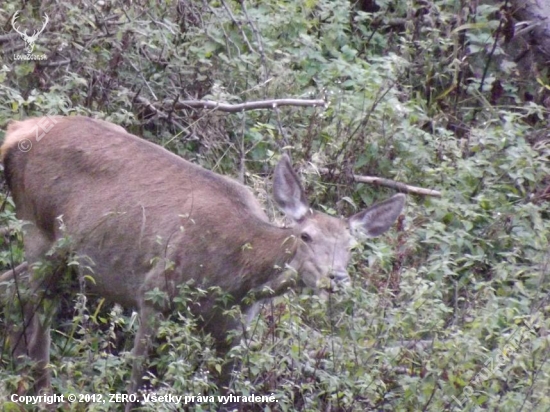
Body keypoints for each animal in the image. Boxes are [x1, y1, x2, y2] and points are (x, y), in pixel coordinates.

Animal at [0, 115, 406, 408]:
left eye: (352, 247)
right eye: (305, 236)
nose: (336, 278)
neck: (236, 279)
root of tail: (16, 129)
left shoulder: (233, 328)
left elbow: (226, 395)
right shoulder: (154, 294)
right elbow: (137, 384)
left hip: (64, 259)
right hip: (38, 230)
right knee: (33, 315)